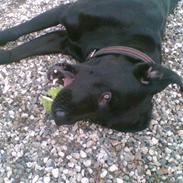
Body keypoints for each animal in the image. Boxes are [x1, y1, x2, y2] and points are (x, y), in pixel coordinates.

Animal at [0, 0, 182, 132]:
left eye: (97, 120)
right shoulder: (66, 11)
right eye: (106, 96)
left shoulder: (62, 40)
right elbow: (20, 30)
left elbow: (19, 52)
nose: (59, 118)